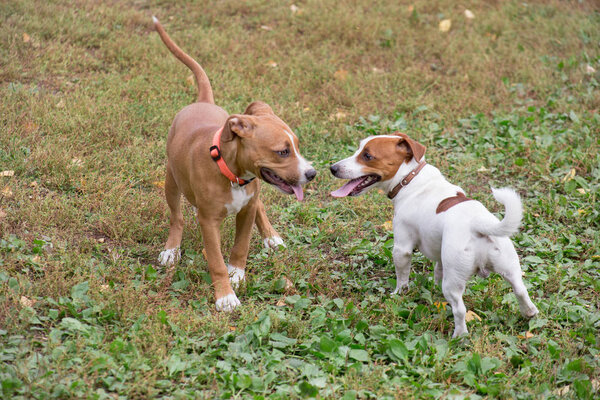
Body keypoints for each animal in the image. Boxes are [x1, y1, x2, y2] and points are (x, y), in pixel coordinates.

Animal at [152, 17, 316, 310]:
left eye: (296, 146)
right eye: (283, 151)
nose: (312, 173)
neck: (232, 175)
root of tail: (203, 101)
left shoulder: (246, 210)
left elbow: (241, 245)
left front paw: (237, 275)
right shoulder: (207, 221)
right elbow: (216, 260)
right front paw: (226, 296)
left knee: (259, 205)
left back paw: (271, 237)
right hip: (171, 180)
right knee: (176, 217)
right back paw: (171, 249)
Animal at [328, 133, 540, 336]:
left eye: (367, 156)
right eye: (358, 149)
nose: (333, 168)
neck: (410, 178)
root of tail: (478, 223)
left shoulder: (402, 248)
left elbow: (402, 276)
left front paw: (398, 293)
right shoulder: (440, 254)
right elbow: (438, 270)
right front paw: (432, 287)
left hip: (453, 282)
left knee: (460, 309)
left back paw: (459, 336)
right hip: (509, 267)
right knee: (521, 291)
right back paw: (529, 313)